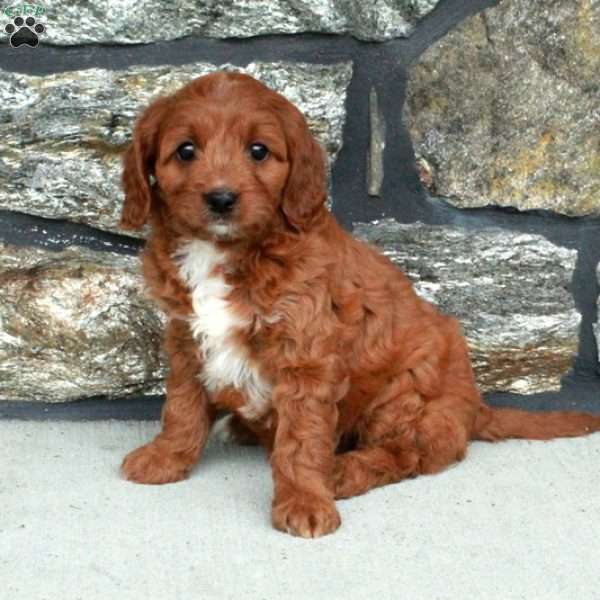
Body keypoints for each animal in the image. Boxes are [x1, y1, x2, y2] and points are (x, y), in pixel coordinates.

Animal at [119, 71, 600, 540]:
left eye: (258, 151)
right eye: (185, 150)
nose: (221, 199)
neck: (225, 253)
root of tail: (474, 408)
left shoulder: (307, 355)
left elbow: (302, 439)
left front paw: (305, 500)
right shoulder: (186, 337)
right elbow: (182, 406)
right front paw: (166, 457)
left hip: (406, 390)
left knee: (408, 453)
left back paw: (343, 472)